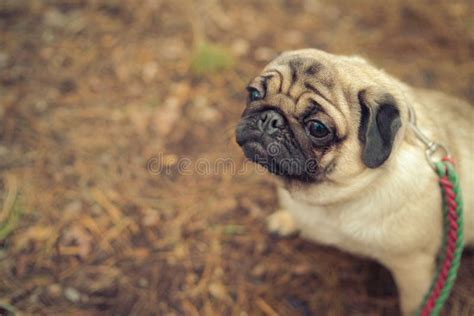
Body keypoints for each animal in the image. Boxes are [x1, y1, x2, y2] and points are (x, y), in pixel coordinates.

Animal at [235, 48, 472, 314]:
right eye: (254, 93)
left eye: (317, 128)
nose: (269, 118)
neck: (333, 198)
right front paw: (287, 219)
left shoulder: (415, 266)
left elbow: (414, 303)